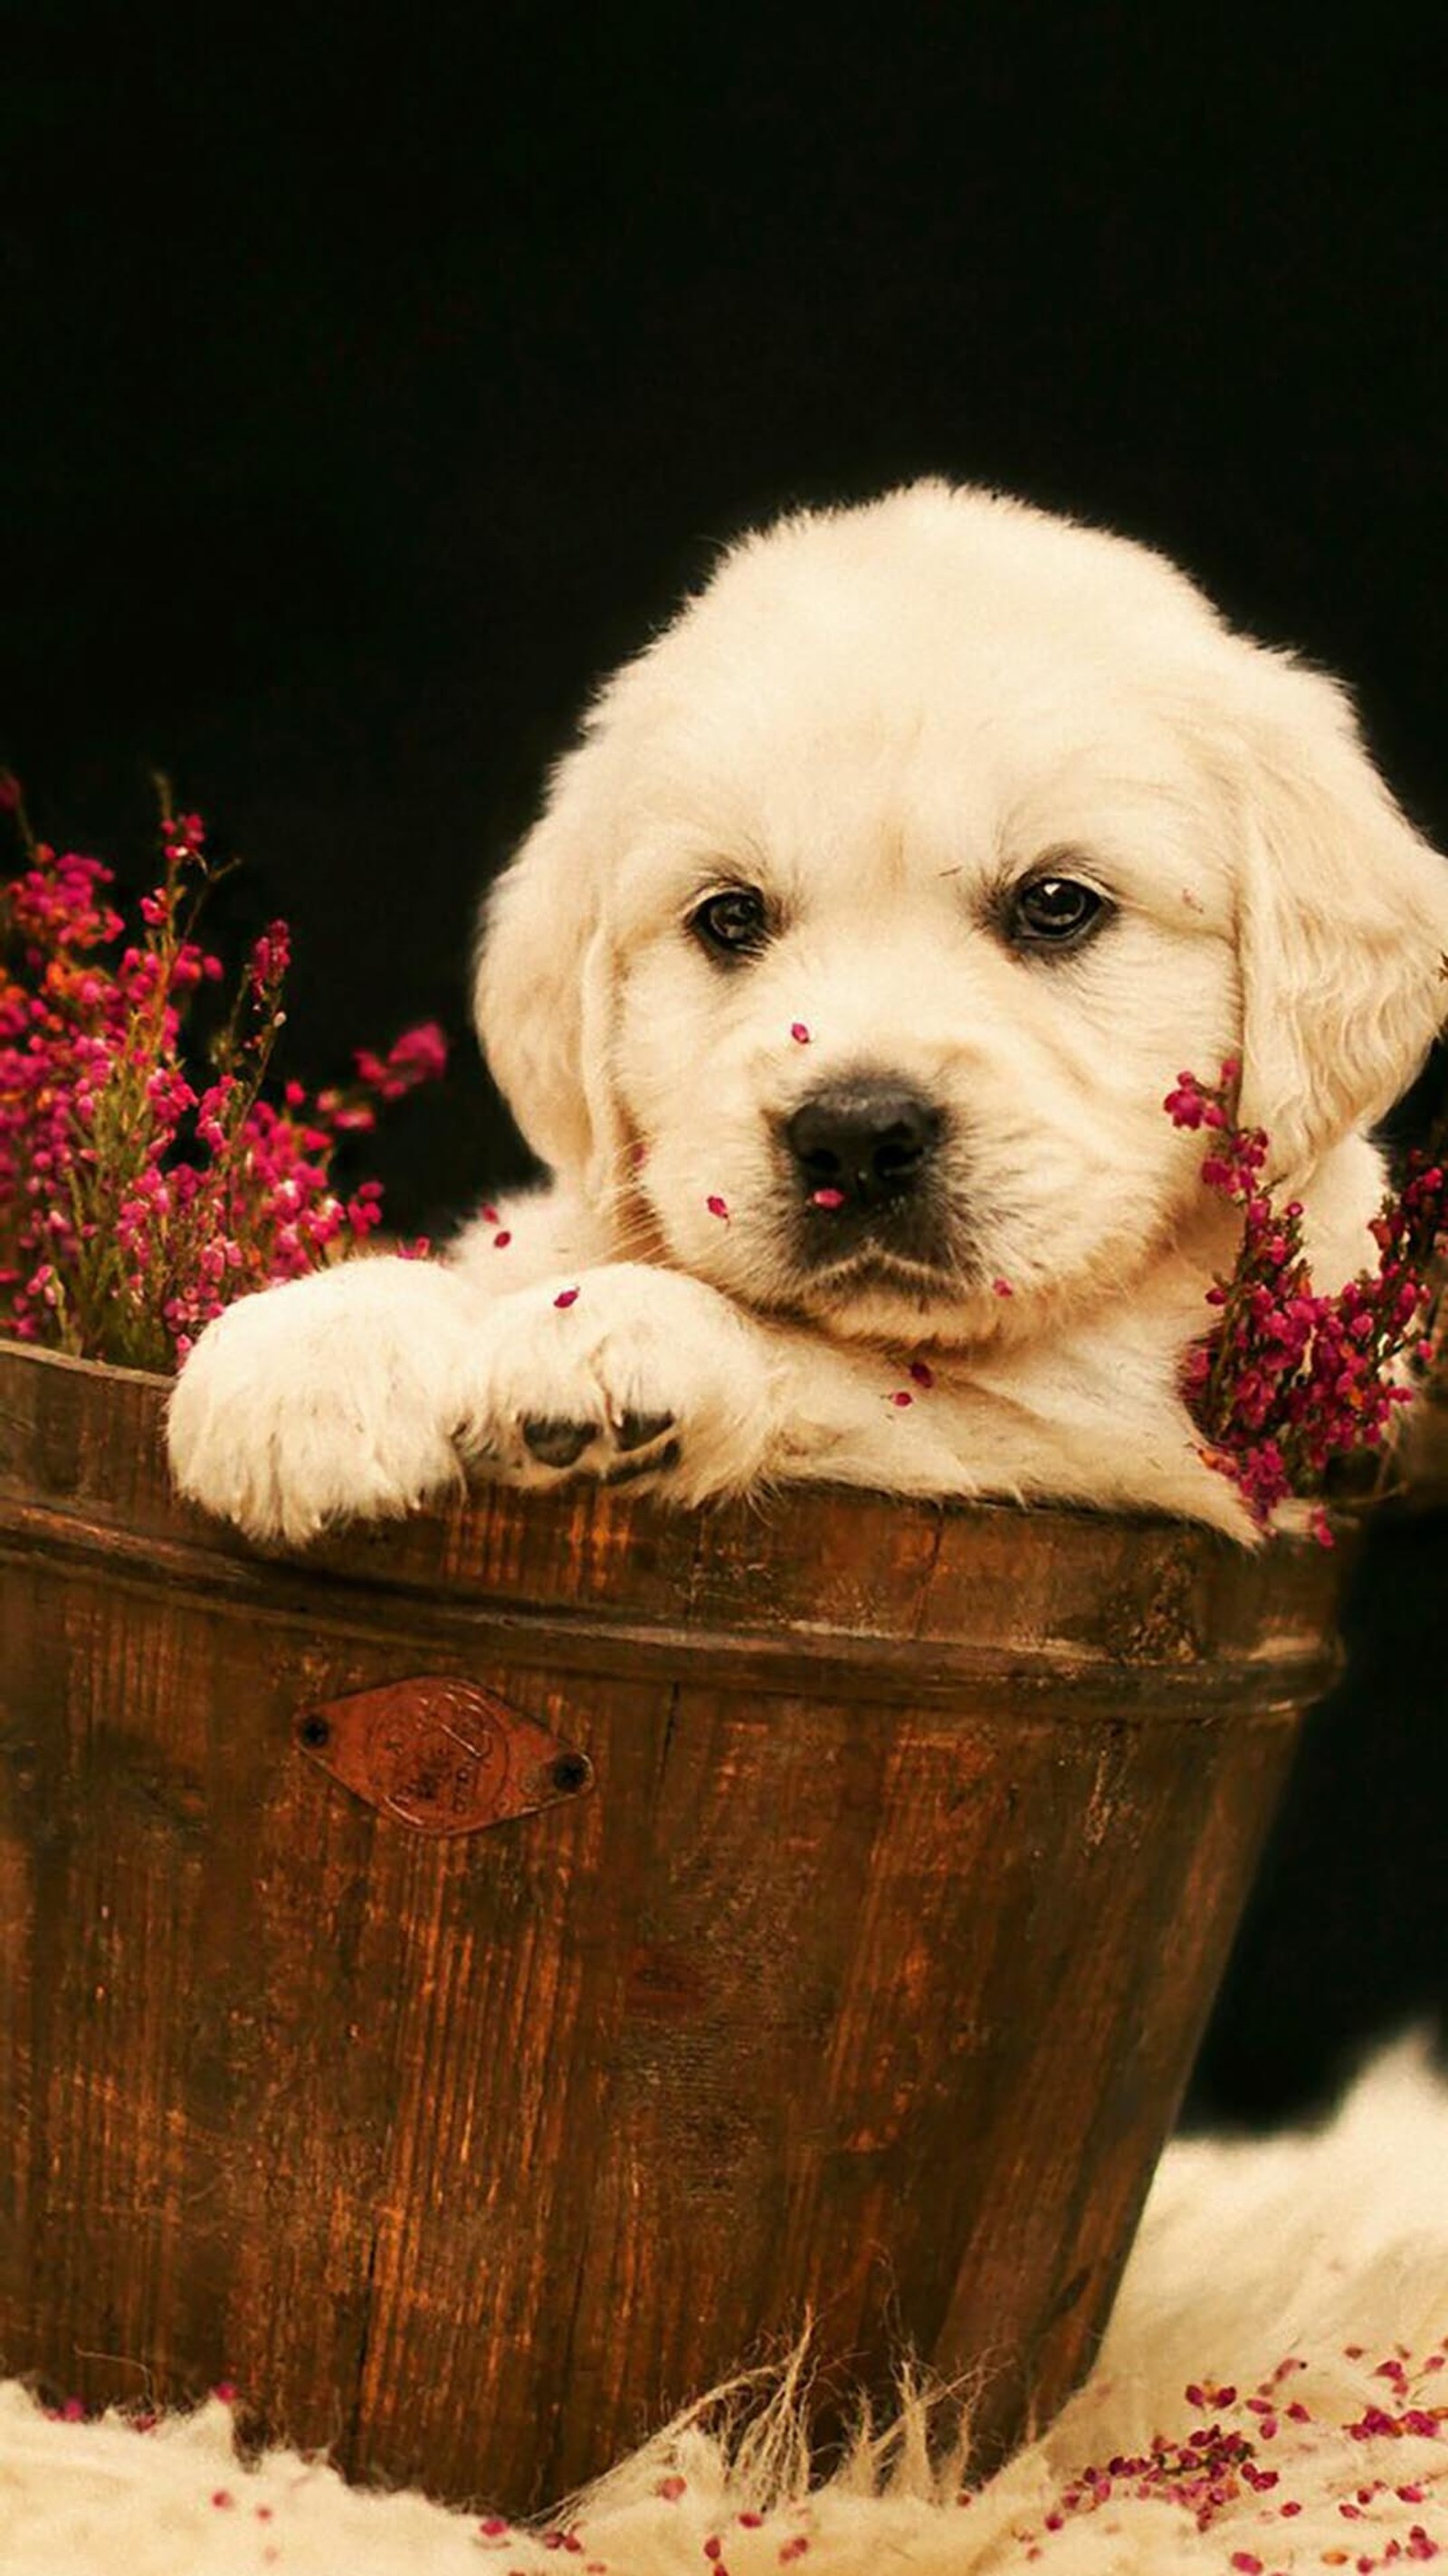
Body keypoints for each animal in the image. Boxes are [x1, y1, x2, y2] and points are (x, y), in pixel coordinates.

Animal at [163, 479, 1443, 1545]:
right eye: (730, 917)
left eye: (1056, 905)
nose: (856, 1137)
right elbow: (510, 1250)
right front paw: (315, 1346)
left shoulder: (1142, 1439)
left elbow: (873, 1379)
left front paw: (622, 1333)